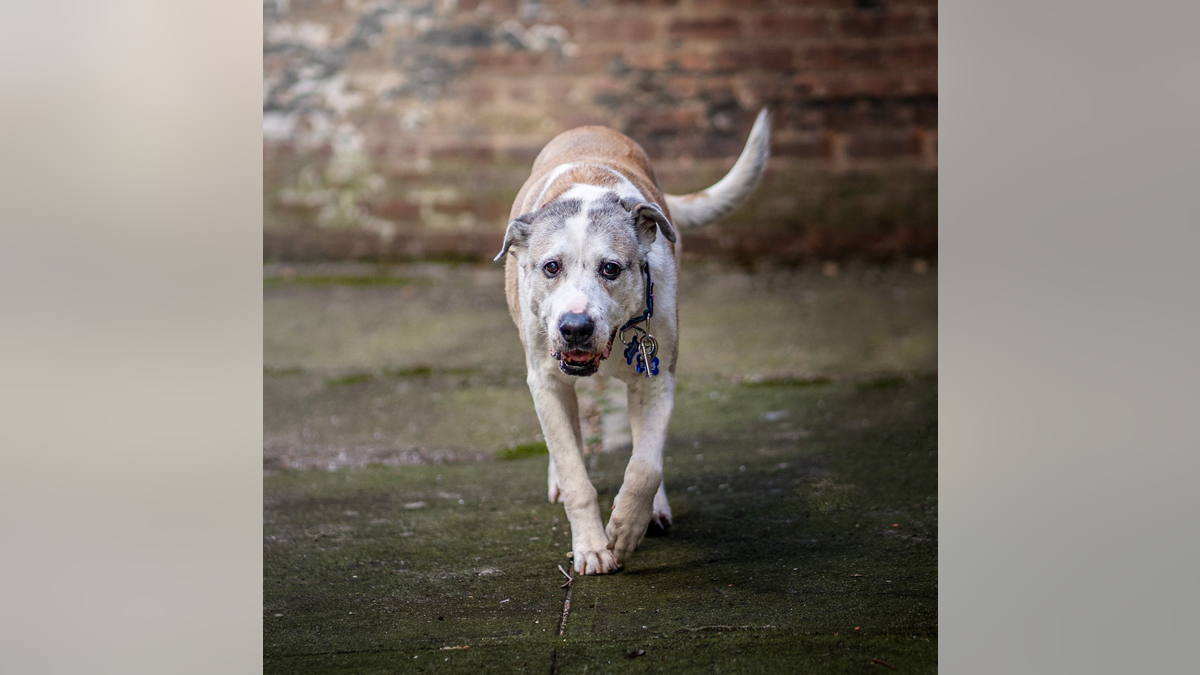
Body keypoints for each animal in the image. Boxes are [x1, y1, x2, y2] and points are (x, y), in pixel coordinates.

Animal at [494, 107, 768, 569]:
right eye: (551, 267)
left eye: (611, 268)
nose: (575, 328)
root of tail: (592, 127)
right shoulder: (546, 379)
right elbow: (575, 472)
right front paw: (591, 547)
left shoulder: (657, 376)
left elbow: (645, 467)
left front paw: (625, 529)